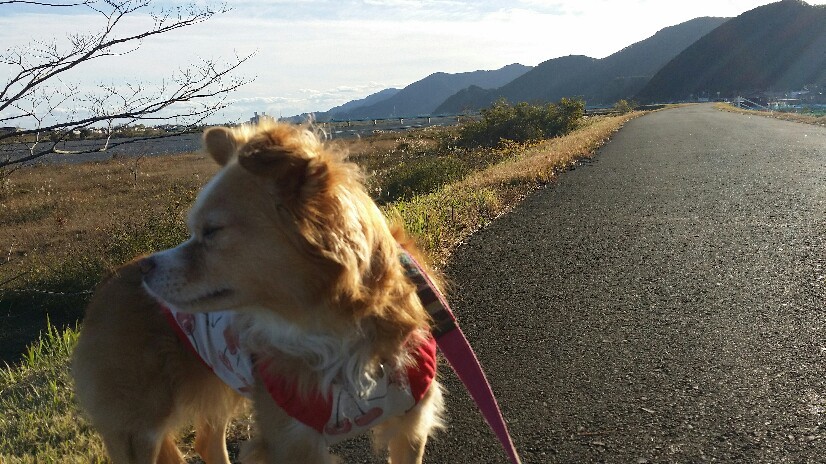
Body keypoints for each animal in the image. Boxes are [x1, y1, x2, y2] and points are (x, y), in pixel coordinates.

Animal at [71, 121, 444, 462]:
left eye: (212, 231)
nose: (147, 268)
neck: (337, 329)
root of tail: (105, 287)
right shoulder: (290, 439)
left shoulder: (411, 427)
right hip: (137, 428)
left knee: (207, 441)